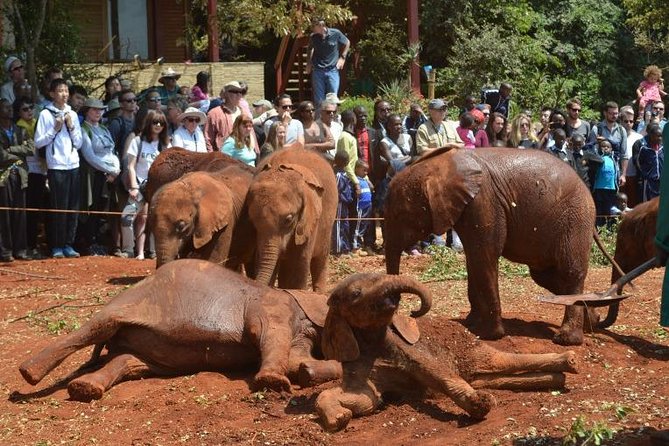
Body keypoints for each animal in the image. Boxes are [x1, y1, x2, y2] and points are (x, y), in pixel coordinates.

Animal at [18, 259, 343, 401]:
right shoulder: (273, 304)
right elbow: (268, 333)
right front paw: (273, 383)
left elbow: (298, 359)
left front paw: (307, 373)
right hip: (128, 302)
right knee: (95, 328)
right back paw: (28, 373)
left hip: (153, 353)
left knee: (127, 361)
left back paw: (85, 389)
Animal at [315, 273, 578, 432]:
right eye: (356, 294)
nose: (412, 310)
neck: (373, 340)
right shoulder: (359, 361)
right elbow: (367, 400)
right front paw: (339, 419)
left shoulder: (411, 349)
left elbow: (440, 374)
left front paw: (480, 404)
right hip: (480, 371)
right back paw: (558, 378)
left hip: (471, 349)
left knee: (501, 360)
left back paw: (571, 361)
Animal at [384, 147, 597, 345]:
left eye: (399, 214)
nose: (410, 313)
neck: (440, 165)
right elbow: (473, 259)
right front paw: (470, 323)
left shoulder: (484, 202)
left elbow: (484, 256)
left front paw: (489, 334)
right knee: (547, 276)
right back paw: (594, 321)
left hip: (575, 219)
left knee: (569, 273)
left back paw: (567, 339)